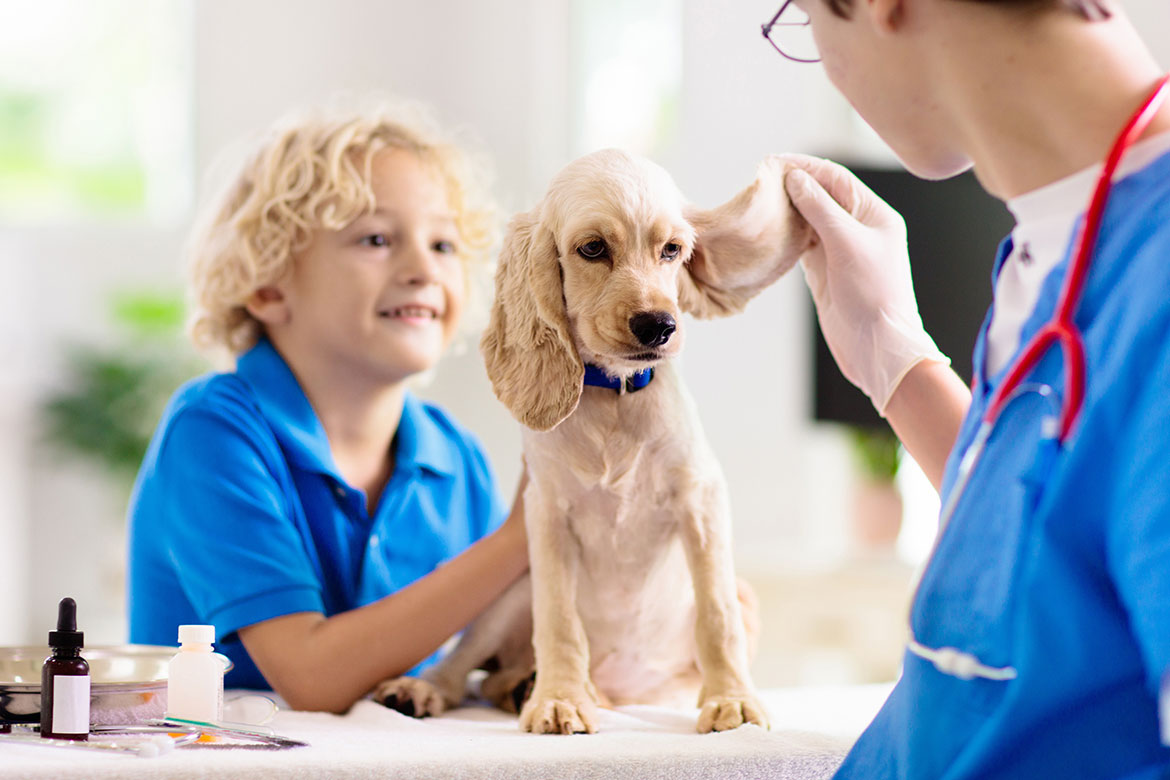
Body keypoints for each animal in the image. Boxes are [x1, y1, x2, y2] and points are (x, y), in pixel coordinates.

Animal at [376, 149, 814, 734]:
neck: (616, 398)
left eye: (672, 250)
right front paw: (559, 699)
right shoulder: (546, 513)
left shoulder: (701, 498)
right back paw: (444, 689)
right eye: (592, 248)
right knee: (468, 665)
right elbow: (559, 620)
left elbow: (717, 615)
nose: (659, 326)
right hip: (509, 595)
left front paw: (733, 700)